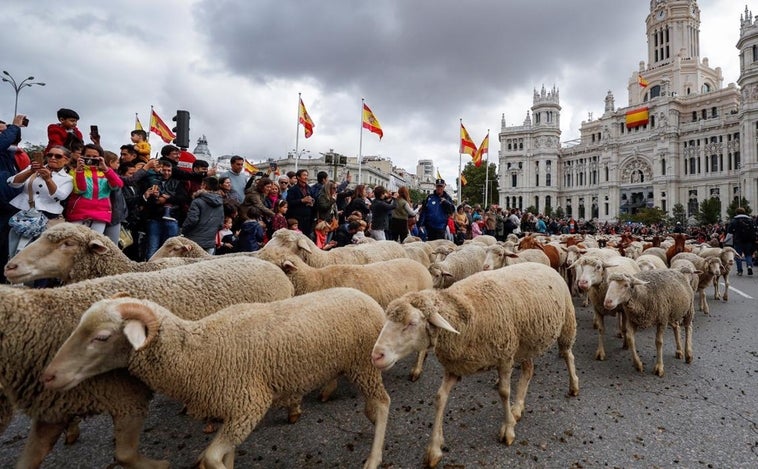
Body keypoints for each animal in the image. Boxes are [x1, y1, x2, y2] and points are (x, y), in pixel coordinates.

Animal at [0, 256, 294, 468]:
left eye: (102, 337)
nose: (49, 376)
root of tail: (269, 265)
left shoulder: (126, 397)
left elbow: (125, 455)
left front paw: (159, 465)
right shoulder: (53, 409)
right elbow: (30, 459)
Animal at [44, 288, 392, 468]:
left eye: (102, 337)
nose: (50, 375)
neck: (199, 352)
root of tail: (365, 297)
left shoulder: (249, 405)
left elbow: (211, 458)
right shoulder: (231, 410)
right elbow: (223, 455)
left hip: (363, 365)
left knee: (384, 404)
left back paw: (373, 458)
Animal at [372, 264, 580, 468]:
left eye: (412, 323)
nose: (376, 355)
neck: (466, 315)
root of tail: (546, 265)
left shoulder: (505, 355)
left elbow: (504, 392)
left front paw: (508, 430)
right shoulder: (455, 367)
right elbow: (440, 398)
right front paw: (434, 449)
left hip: (566, 323)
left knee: (568, 355)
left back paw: (573, 386)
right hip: (525, 343)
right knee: (528, 370)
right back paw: (517, 408)